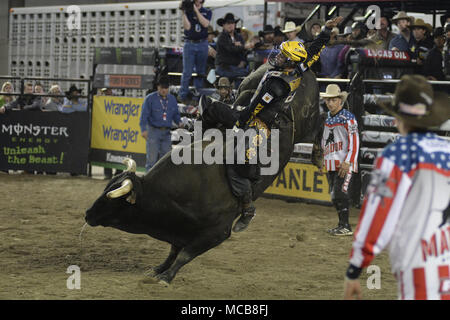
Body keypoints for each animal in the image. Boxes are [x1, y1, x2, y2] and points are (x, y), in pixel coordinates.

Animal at [84, 65, 324, 284]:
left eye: (115, 201)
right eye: (106, 189)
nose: (87, 214)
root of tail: (304, 71)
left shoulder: (217, 232)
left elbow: (185, 254)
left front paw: (167, 277)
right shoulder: (181, 228)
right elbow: (174, 250)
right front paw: (159, 269)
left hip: (307, 122)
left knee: (320, 123)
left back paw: (318, 155)